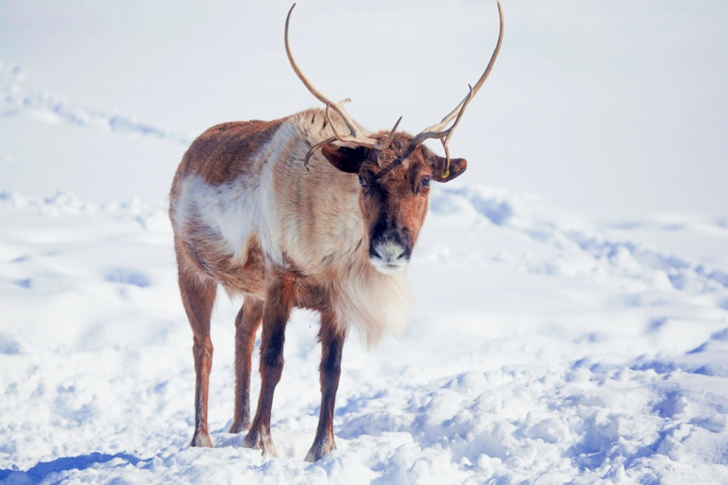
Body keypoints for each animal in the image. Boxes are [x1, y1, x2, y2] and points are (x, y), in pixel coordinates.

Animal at [169, 2, 503, 462]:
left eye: (424, 181)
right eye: (363, 177)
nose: (390, 248)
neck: (332, 247)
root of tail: (187, 156)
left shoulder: (336, 300)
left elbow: (332, 371)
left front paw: (322, 448)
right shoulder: (280, 278)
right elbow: (273, 361)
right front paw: (262, 442)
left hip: (249, 289)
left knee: (240, 330)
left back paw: (237, 424)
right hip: (191, 268)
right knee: (204, 348)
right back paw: (204, 437)